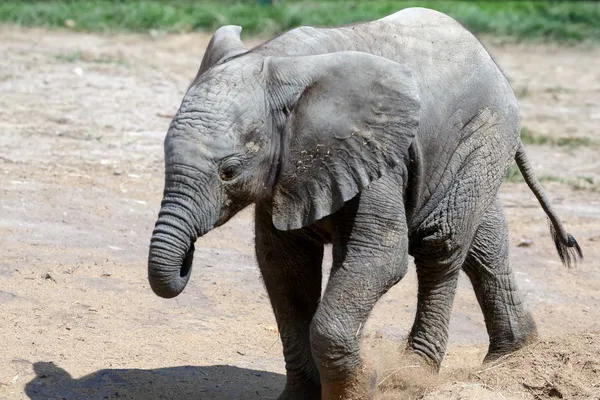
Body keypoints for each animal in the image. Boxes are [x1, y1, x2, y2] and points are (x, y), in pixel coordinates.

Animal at [145, 7, 580, 400]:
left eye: (229, 171)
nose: (187, 259)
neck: (275, 59)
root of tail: (490, 59)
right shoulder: (287, 170)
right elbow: (284, 267)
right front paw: (302, 397)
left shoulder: (374, 156)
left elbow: (378, 257)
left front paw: (358, 388)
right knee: (483, 243)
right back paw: (512, 357)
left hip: (481, 132)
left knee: (442, 243)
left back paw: (413, 375)